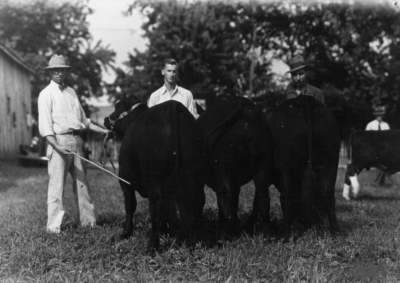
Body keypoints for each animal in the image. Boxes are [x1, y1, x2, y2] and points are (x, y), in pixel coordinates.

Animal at [104, 95, 203, 253]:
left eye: (117, 106)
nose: (106, 119)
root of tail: (173, 106)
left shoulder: (125, 180)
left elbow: (130, 205)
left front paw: (126, 233)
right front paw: (165, 232)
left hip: (154, 178)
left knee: (156, 206)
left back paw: (152, 246)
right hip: (193, 173)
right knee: (193, 202)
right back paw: (193, 244)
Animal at [197, 97, 276, 240]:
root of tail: (244, 104)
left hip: (224, 168)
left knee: (224, 197)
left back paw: (223, 236)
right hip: (263, 164)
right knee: (263, 197)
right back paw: (268, 235)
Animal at [268, 95, 340, 237]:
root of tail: (304, 99)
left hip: (285, 165)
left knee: (287, 196)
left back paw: (284, 234)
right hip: (330, 162)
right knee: (328, 195)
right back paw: (335, 232)